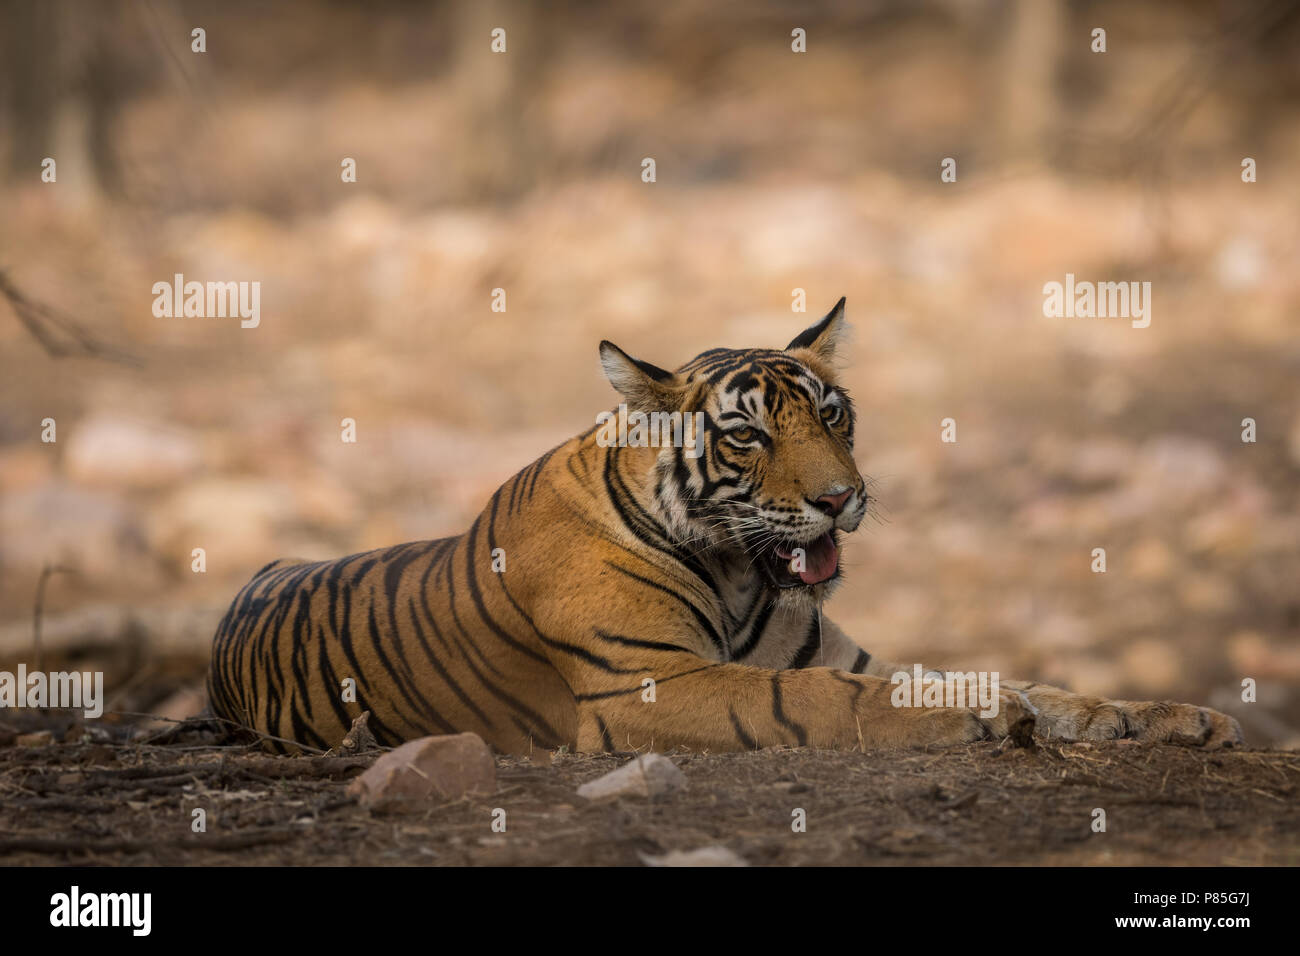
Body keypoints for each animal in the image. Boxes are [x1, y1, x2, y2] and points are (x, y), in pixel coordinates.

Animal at [207, 299, 1245, 754]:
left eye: (834, 415)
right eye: (748, 433)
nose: (840, 498)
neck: (742, 571)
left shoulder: (842, 650)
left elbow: (1014, 676)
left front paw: (1166, 715)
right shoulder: (646, 688)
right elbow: (819, 700)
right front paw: (978, 714)